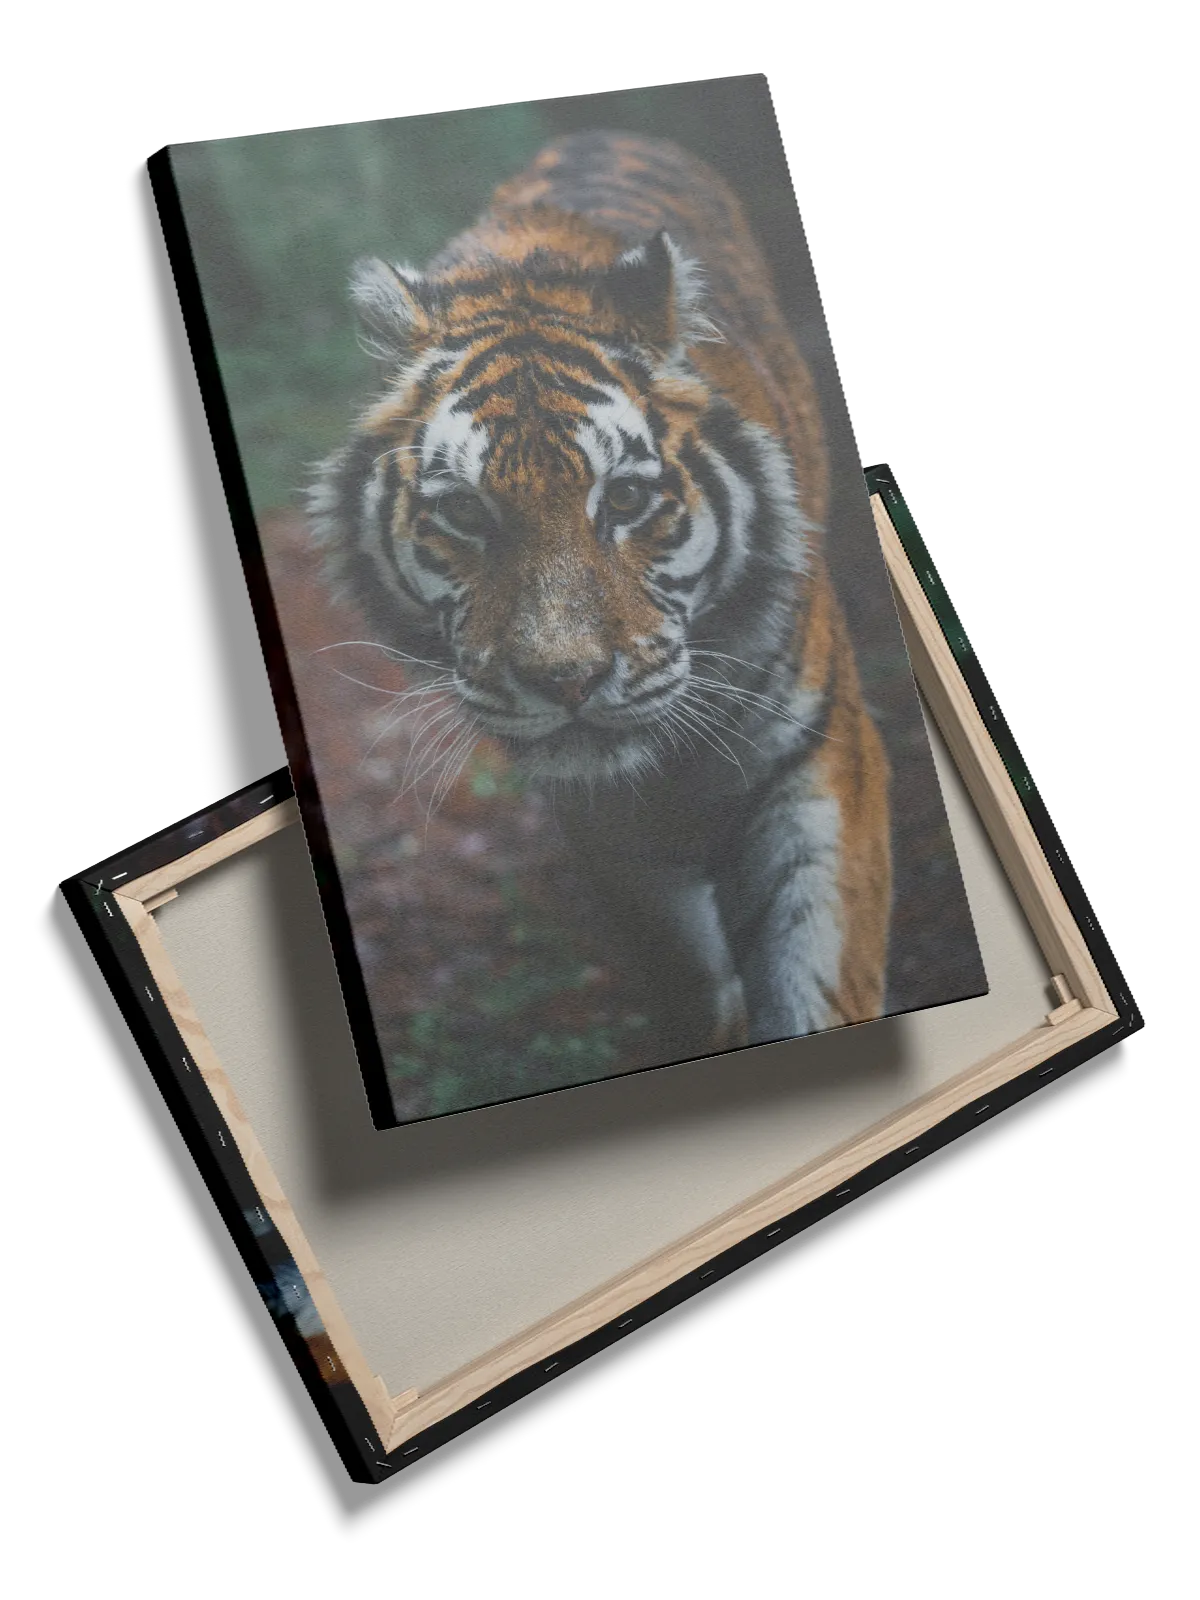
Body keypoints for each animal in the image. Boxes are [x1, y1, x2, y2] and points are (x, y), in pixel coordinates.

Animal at [309, 129, 892, 1061]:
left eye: (623, 500)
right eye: (466, 513)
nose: (567, 680)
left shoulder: (815, 758)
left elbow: (819, 971)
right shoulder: (605, 821)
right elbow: (684, 964)